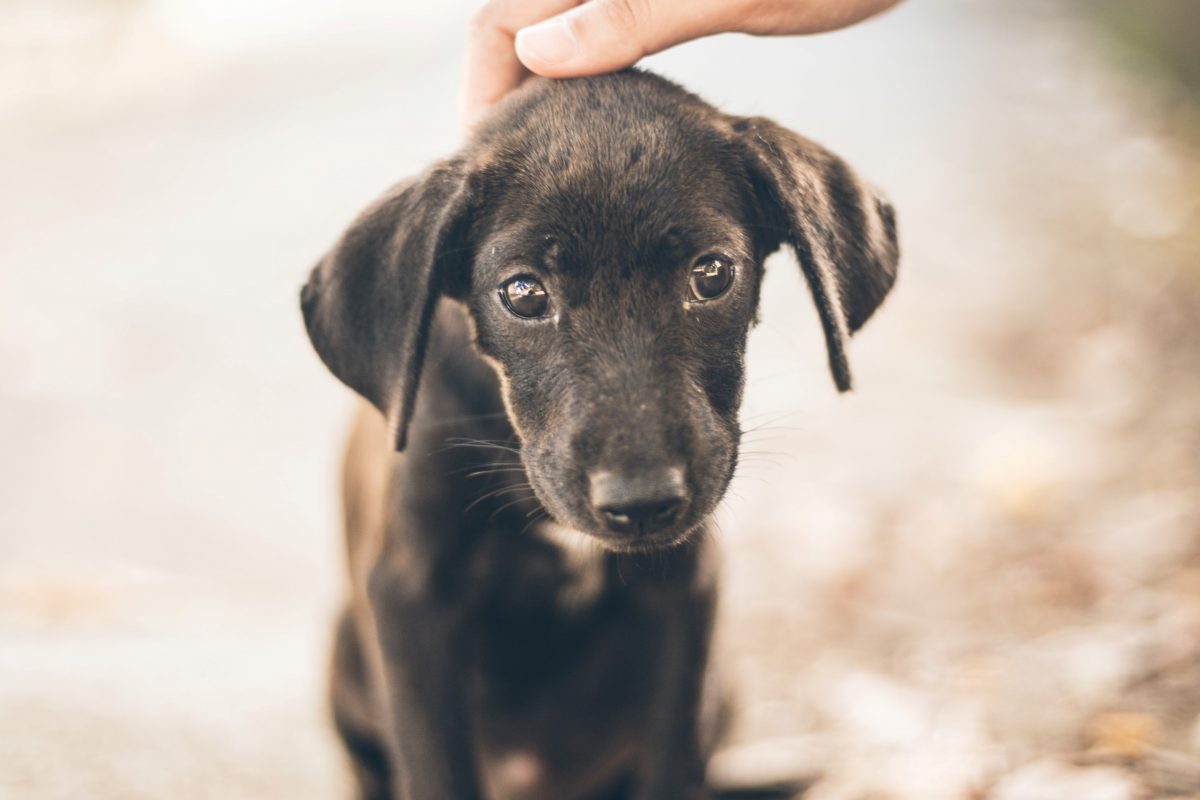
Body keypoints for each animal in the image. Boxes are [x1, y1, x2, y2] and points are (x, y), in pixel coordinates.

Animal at [300, 68, 902, 800]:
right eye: (524, 292)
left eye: (712, 274)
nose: (641, 502)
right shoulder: (412, 603)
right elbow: (438, 768)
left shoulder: (684, 596)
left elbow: (671, 759)